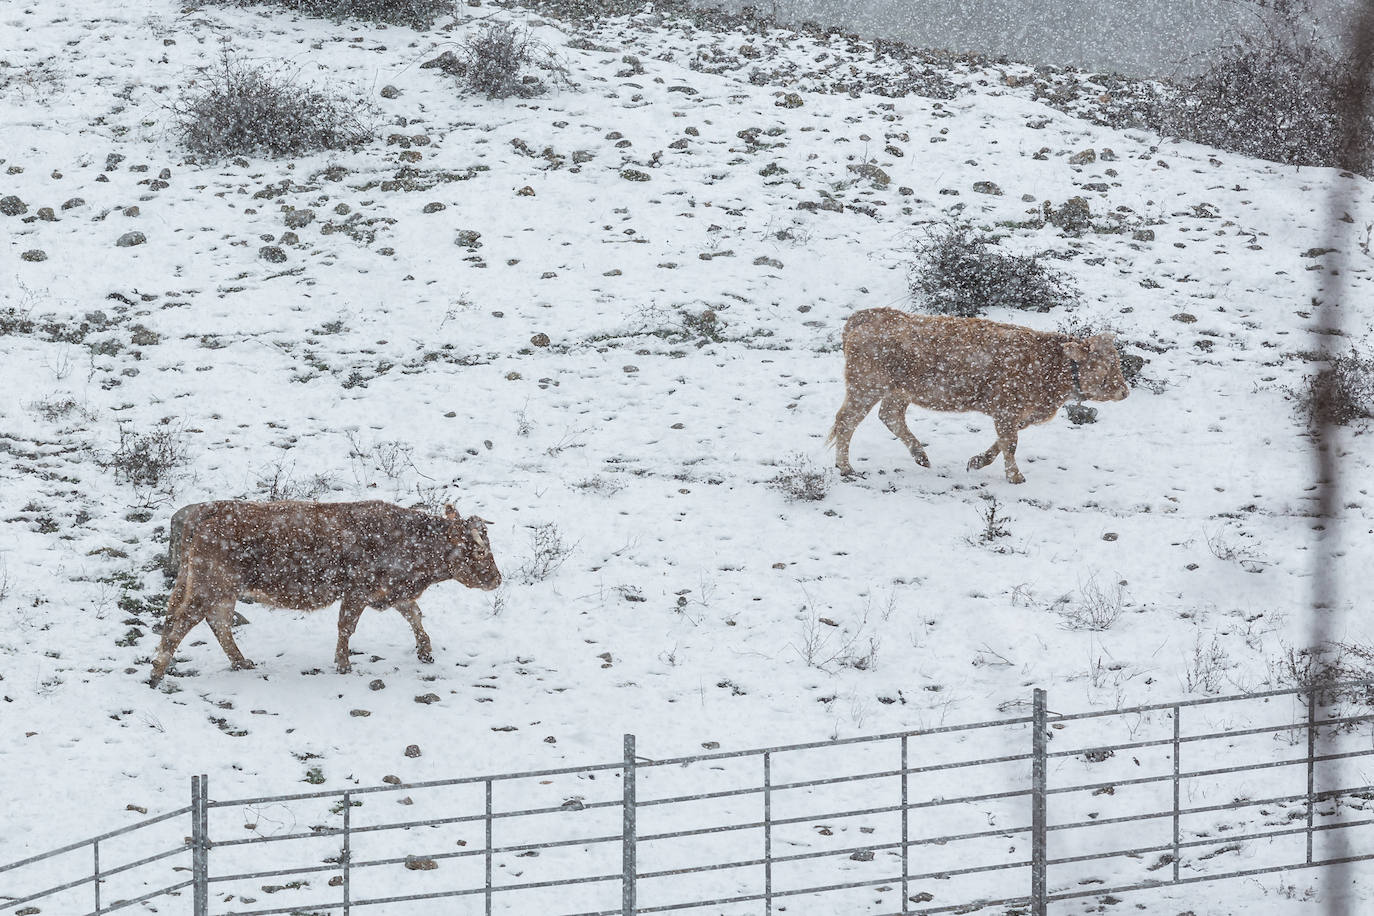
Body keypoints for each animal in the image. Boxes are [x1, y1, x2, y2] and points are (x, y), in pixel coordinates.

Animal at [149, 502, 500, 686]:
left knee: (213, 622)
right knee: (182, 623)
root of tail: (210, 508)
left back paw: (241, 662)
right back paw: (157, 672)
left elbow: (413, 614)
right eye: (481, 551)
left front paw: (425, 651)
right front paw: (343, 664)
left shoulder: (390, 591)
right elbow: (346, 627)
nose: (497, 579)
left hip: (216, 589)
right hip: (210, 586)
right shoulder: (357, 590)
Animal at [824, 307, 1126, 483]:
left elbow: (1003, 442)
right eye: (1105, 365)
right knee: (846, 421)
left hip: (897, 391)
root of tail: (865, 316)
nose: (1125, 390)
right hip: (866, 387)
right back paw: (846, 467)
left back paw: (920, 455)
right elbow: (1010, 443)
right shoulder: (1006, 410)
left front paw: (978, 461)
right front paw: (1015, 476)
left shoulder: (1018, 414)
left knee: (890, 415)